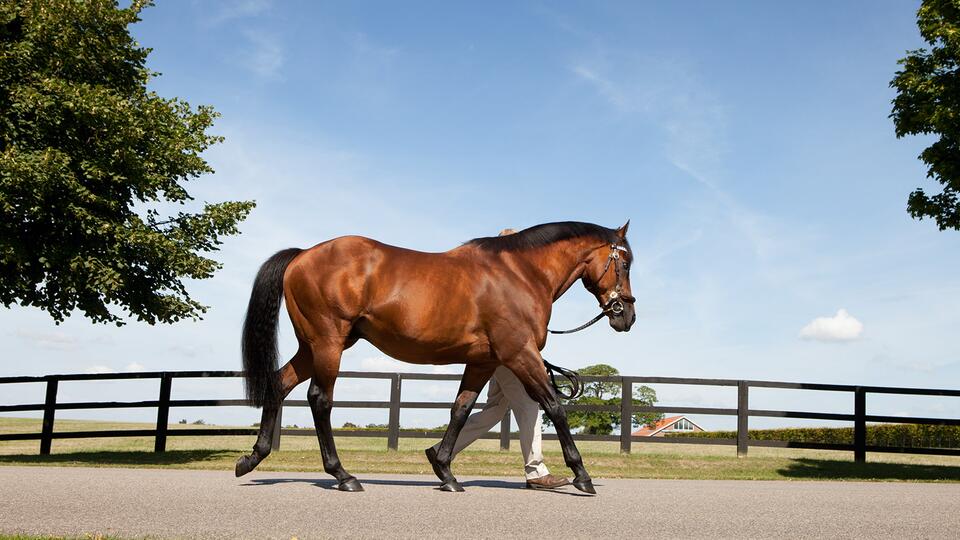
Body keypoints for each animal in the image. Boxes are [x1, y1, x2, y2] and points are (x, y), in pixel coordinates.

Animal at [233, 219, 636, 494]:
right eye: (626, 262)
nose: (626, 315)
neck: (520, 274)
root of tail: (302, 255)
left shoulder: (484, 361)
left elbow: (461, 409)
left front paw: (444, 470)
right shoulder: (520, 353)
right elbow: (554, 406)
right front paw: (582, 475)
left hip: (313, 347)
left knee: (279, 384)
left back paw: (251, 458)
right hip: (328, 343)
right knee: (320, 399)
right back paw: (343, 475)